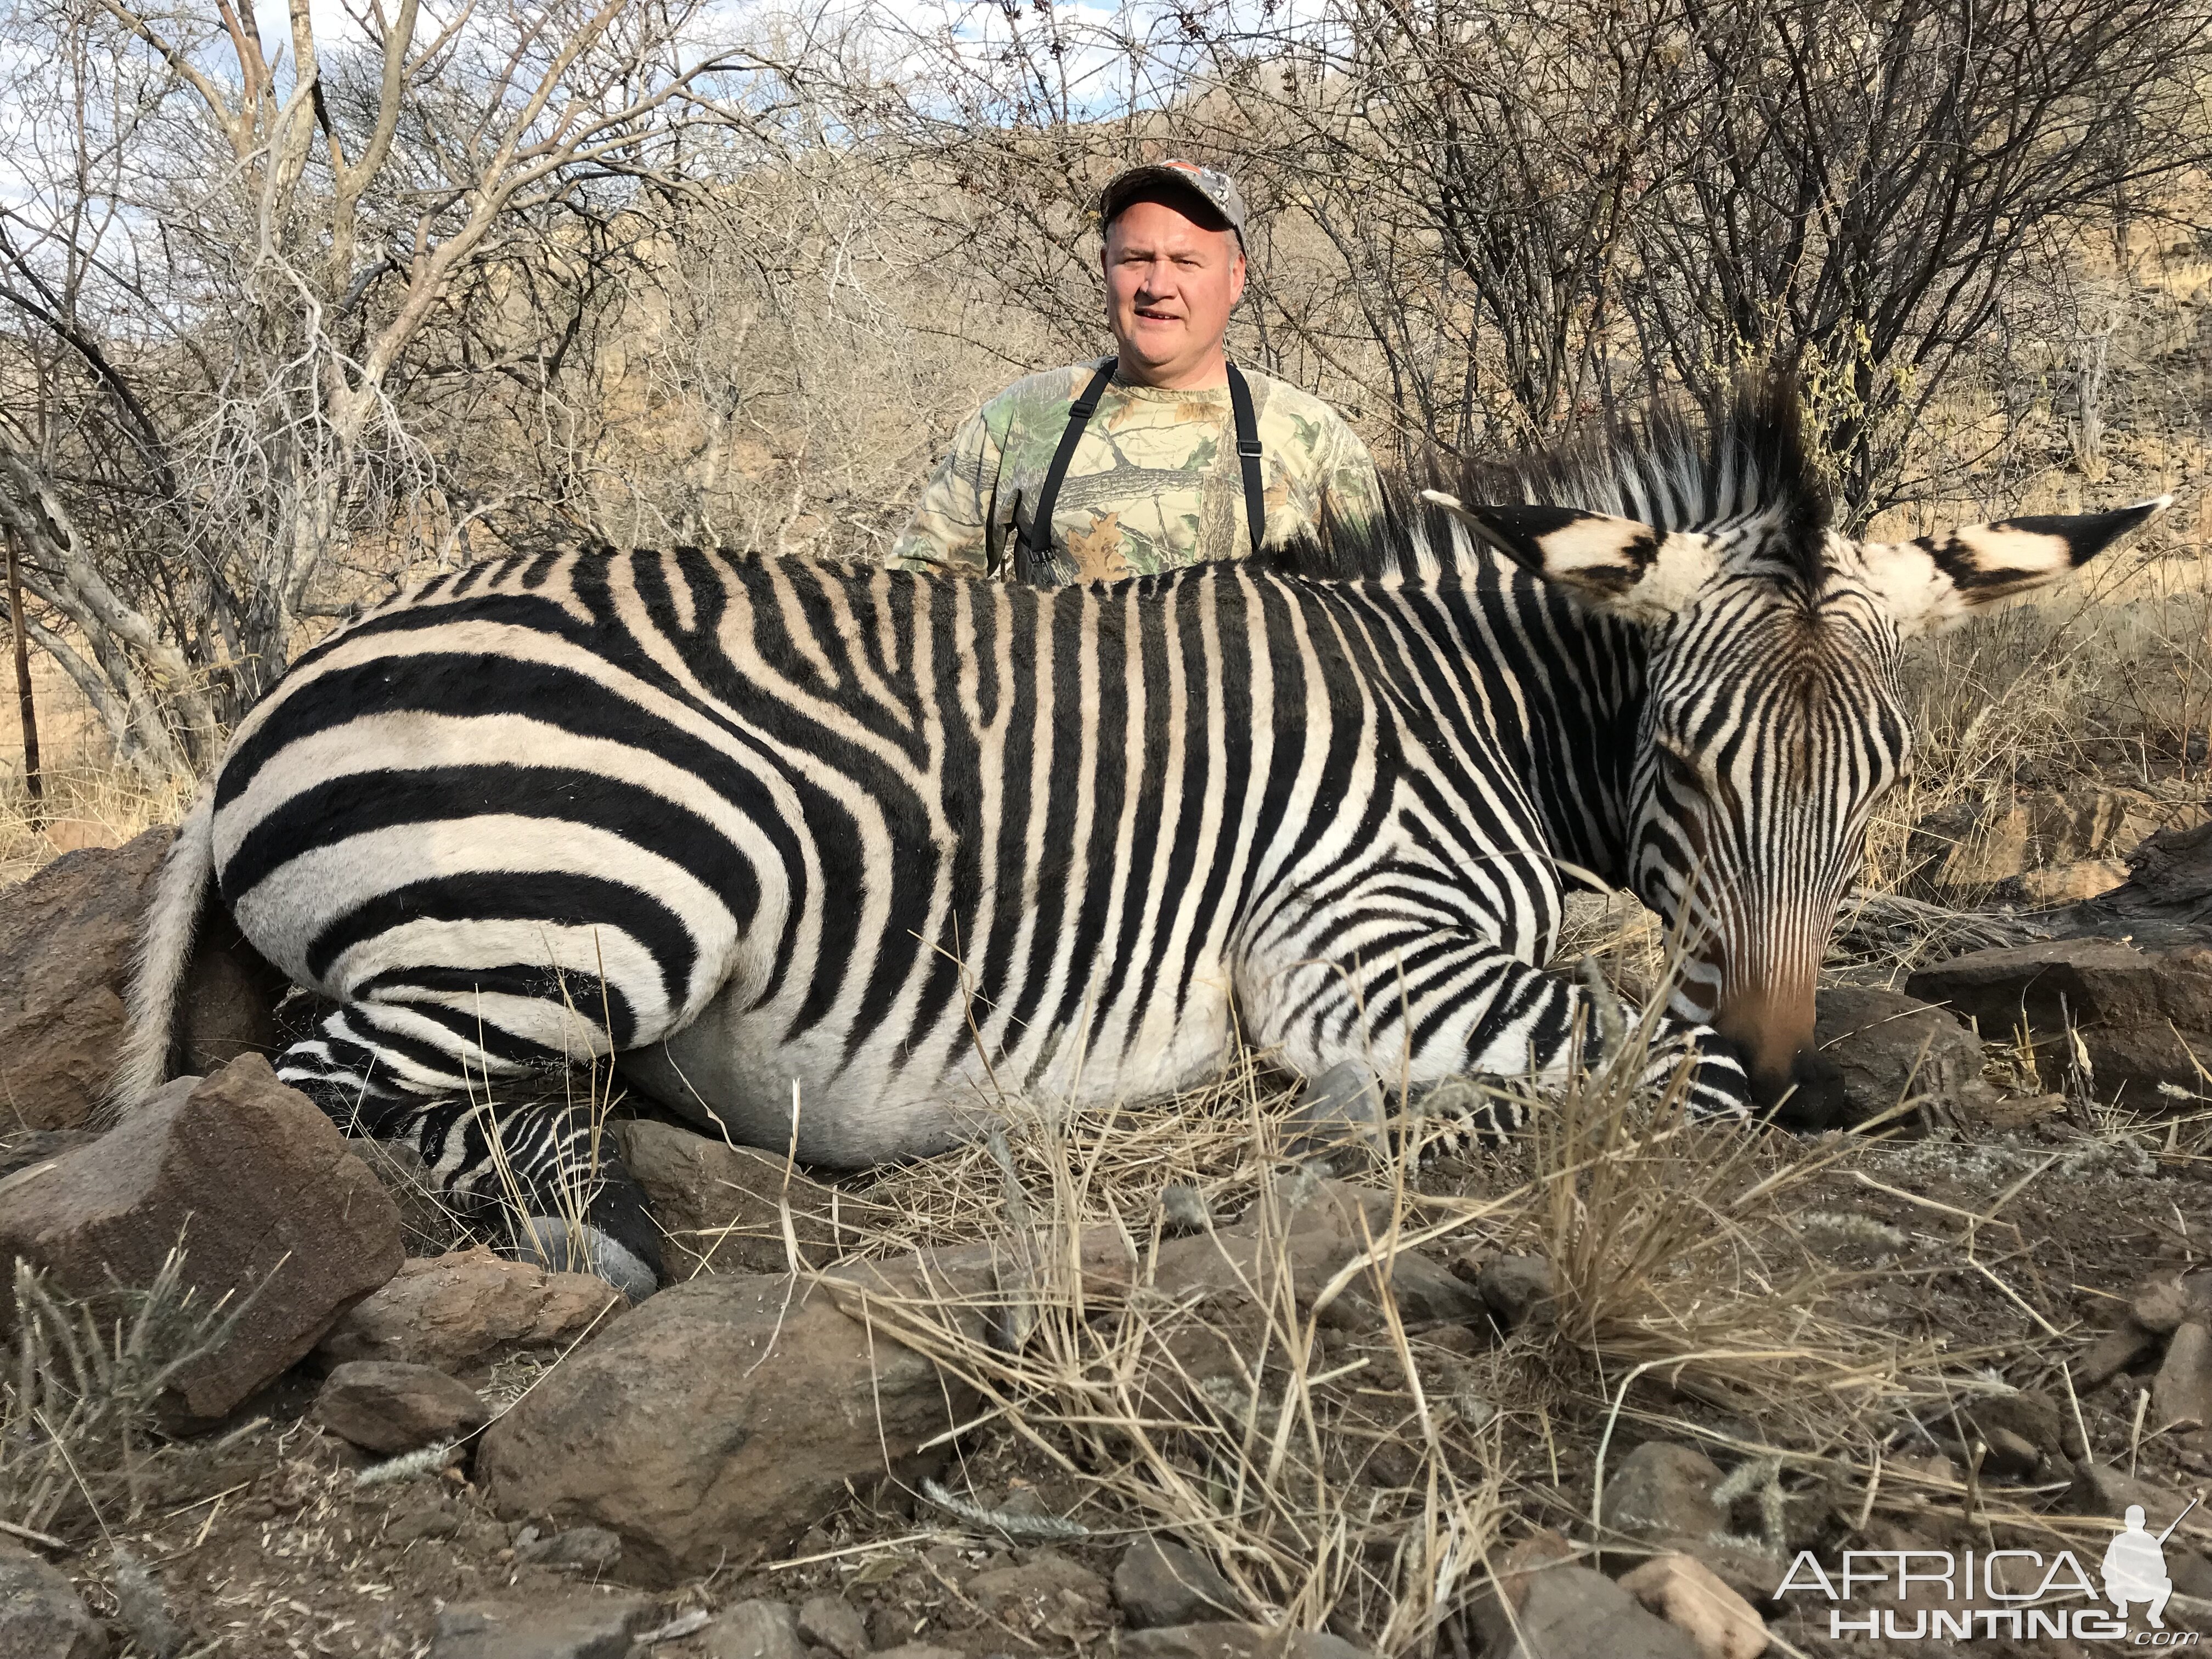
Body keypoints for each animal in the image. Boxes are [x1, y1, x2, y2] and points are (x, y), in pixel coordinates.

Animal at [116, 380, 2159, 1300]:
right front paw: (1385, 1132)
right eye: (1683, 758)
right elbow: (1646, 1057)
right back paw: (586, 1229)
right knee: (317, 1087)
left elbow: (1668, 1043)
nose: (1795, 1038)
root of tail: (286, 688)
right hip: (612, 893)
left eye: (1881, 775)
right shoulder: (1352, 943)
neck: (1468, 698)